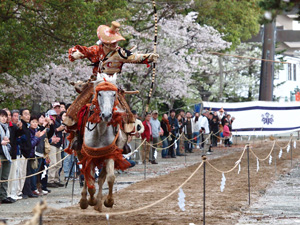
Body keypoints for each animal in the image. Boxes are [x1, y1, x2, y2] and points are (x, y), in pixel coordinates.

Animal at [77, 74, 131, 213]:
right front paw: (89, 200)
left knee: (101, 178)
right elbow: (90, 180)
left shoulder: (110, 154)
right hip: (79, 152)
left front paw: (108, 201)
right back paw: (85, 200)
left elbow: (110, 178)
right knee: (85, 174)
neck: (100, 130)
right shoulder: (89, 155)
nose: (106, 115)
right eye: (99, 93)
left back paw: (99, 204)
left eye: (114, 94)